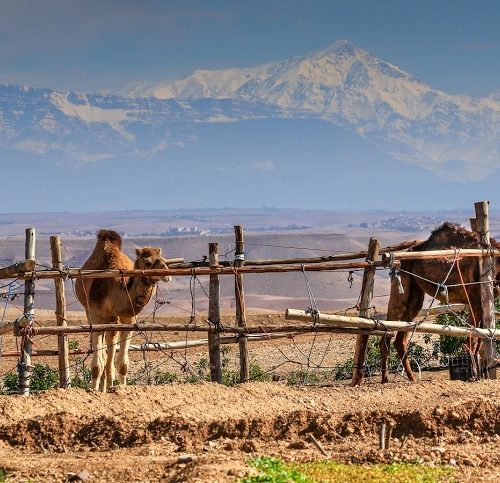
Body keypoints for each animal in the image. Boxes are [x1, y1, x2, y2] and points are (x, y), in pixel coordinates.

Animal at [75, 231, 170, 394]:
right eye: (148, 262)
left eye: (163, 260)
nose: (167, 274)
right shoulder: (96, 315)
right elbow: (97, 363)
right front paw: (93, 391)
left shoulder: (128, 318)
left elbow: (123, 363)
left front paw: (122, 389)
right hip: (92, 313)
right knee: (103, 353)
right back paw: (102, 387)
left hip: (113, 320)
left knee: (111, 346)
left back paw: (109, 386)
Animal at [380, 221, 498, 384]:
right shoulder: (474, 298)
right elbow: (473, 336)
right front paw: (473, 374)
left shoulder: (477, 302)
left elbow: (478, 335)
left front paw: (478, 373)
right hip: (401, 285)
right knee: (387, 332)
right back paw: (385, 379)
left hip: (414, 296)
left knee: (400, 338)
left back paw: (412, 378)